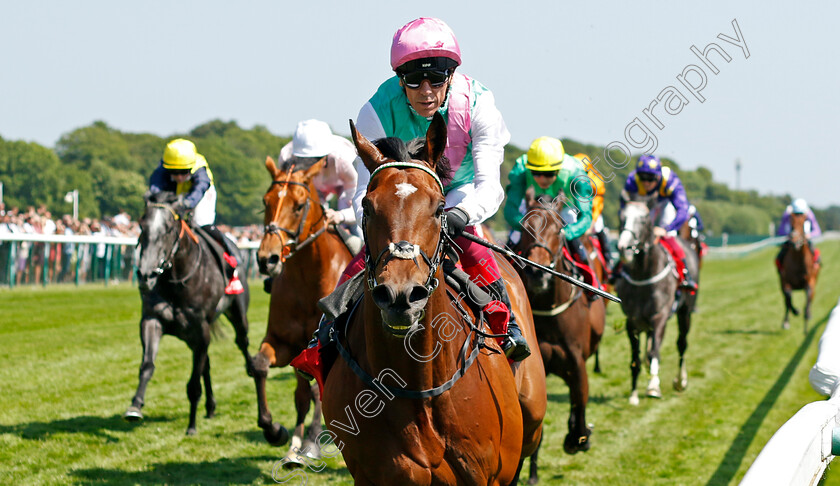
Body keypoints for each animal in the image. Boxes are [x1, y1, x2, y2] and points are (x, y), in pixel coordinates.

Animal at [125, 192, 256, 434]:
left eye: (168, 228)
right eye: (141, 225)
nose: (146, 275)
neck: (177, 280)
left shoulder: (200, 329)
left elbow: (194, 382)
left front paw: (191, 425)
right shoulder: (152, 320)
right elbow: (147, 365)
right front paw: (135, 406)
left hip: (236, 311)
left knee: (241, 341)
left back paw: (252, 367)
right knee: (206, 363)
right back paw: (211, 406)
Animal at [251, 157, 352, 460]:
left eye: (298, 206)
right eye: (266, 201)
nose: (267, 259)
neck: (307, 279)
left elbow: (319, 391)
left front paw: (312, 442)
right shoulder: (283, 343)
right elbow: (260, 366)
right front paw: (276, 431)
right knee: (300, 393)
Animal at [516, 191, 608, 482]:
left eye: (558, 229)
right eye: (526, 230)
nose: (537, 272)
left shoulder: (576, 361)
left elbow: (580, 400)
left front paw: (578, 437)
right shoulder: (539, 367)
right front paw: (532, 473)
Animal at [612, 199, 700, 404]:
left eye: (644, 219)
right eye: (622, 216)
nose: (624, 248)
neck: (643, 274)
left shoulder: (659, 316)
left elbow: (654, 352)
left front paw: (653, 387)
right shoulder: (632, 321)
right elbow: (635, 359)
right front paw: (634, 394)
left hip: (685, 312)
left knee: (681, 344)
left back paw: (680, 381)